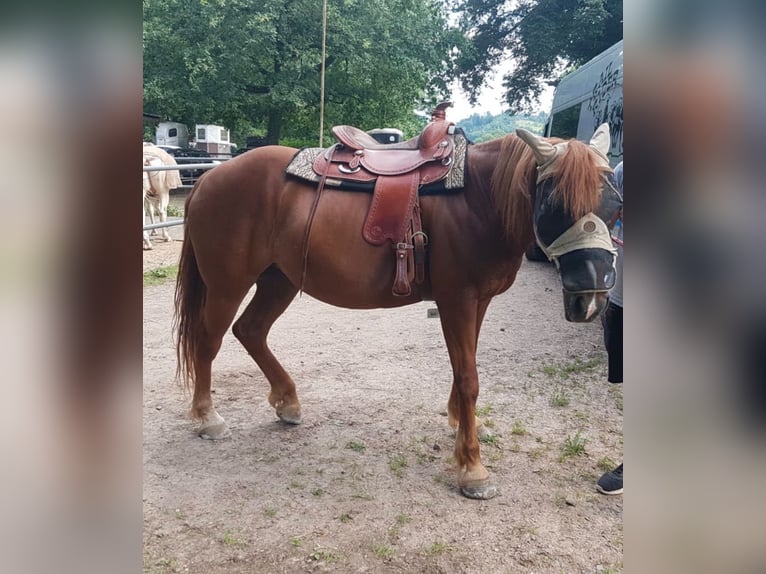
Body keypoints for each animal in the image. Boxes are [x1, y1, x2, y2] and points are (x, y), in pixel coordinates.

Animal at [176, 125, 624, 500]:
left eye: (614, 202)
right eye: (553, 201)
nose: (592, 296)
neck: (478, 199)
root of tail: (210, 178)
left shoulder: (479, 301)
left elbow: (465, 369)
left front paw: (460, 424)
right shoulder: (457, 300)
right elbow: (469, 378)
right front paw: (473, 468)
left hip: (279, 279)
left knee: (250, 331)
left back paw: (287, 402)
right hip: (228, 284)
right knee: (208, 340)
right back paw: (207, 418)